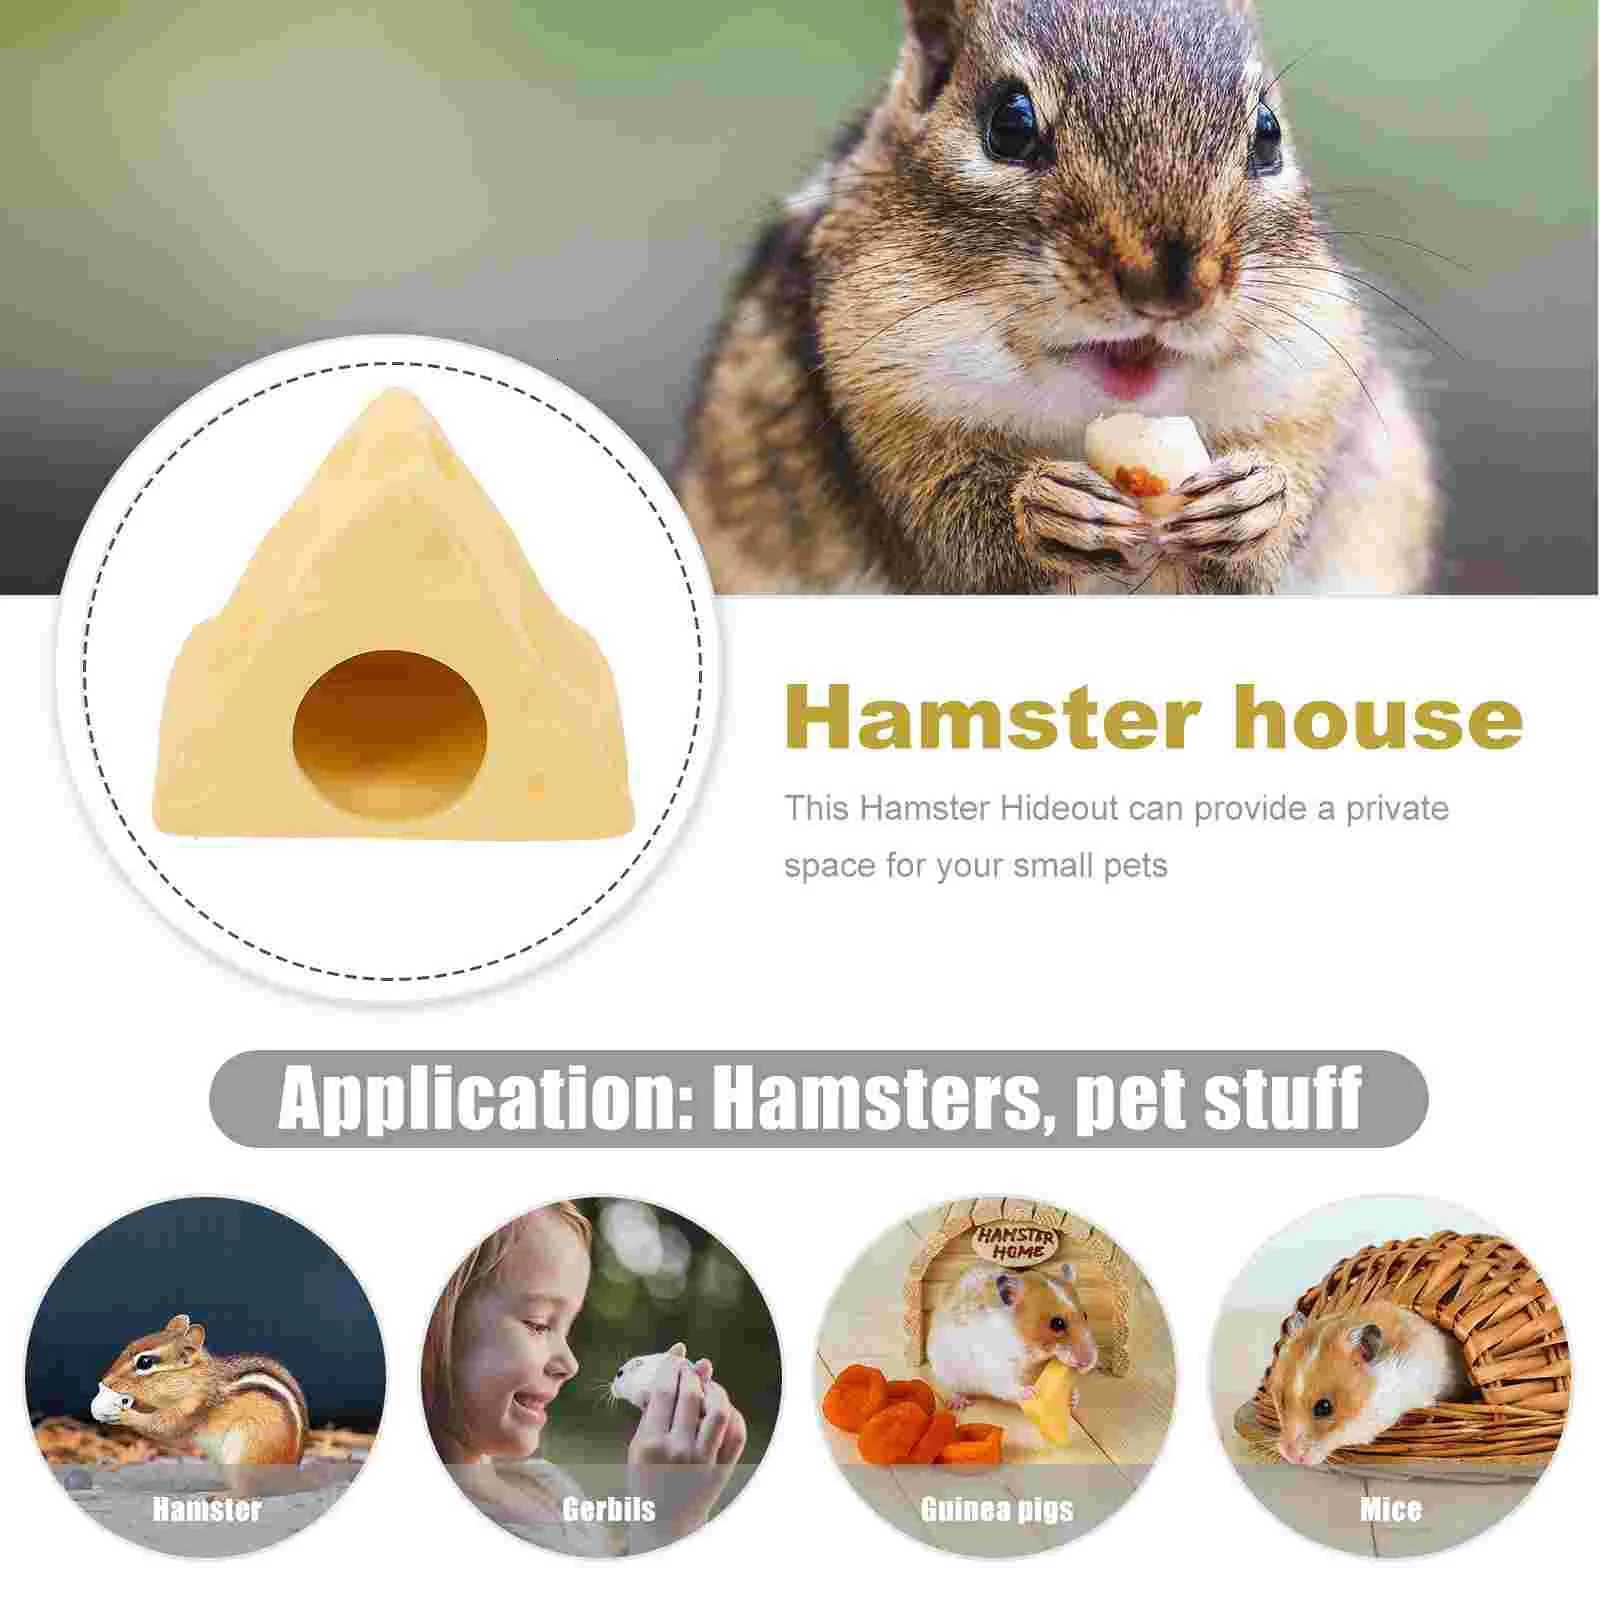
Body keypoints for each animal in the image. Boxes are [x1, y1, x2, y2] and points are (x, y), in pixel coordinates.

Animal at [928, 1264, 1099, 1408]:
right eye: (1057, 1324)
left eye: (1085, 1315)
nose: (1088, 1363)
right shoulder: (996, 1366)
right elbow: (1008, 1386)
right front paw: (1030, 1393)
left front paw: (1074, 1397)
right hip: (943, 1371)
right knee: (943, 1387)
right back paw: (960, 1403)